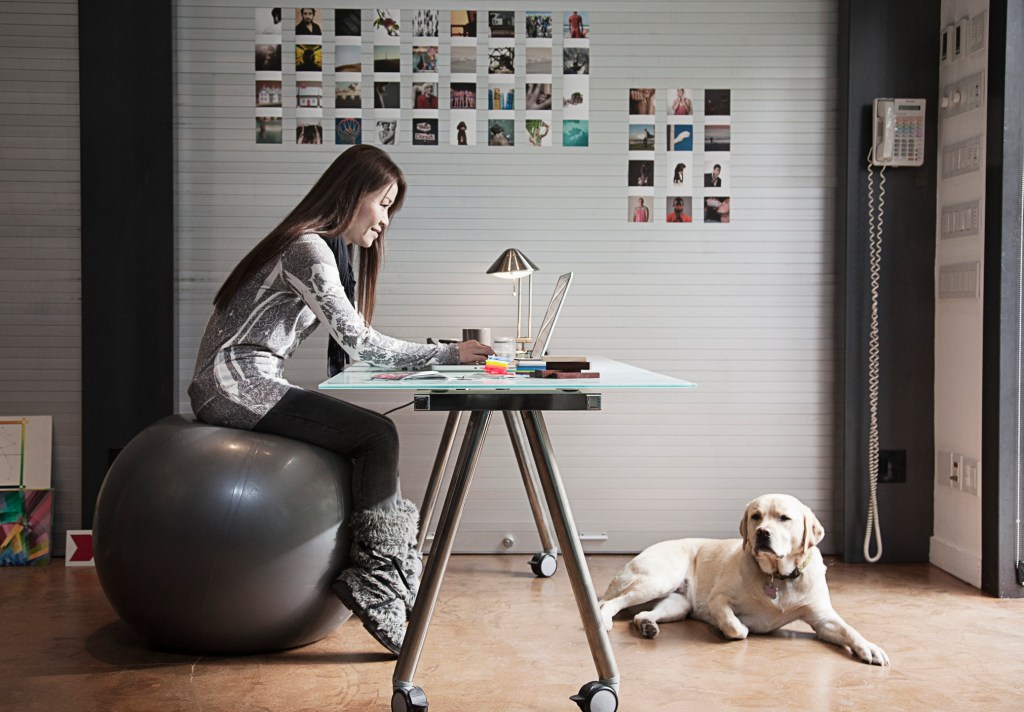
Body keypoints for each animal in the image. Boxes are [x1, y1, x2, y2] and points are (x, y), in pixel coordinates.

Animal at [598, 493, 888, 663]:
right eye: (756, 516)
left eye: (784, 518)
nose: (762, 533)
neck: (778, 577)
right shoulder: (718, 599)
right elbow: (737, 627)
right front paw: (734, 627)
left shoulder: (823, 618)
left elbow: (849, 629)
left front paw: (869, 647)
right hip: (658, 580)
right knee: (608, 604)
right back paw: (605, 620)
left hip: (678, 603)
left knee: (639, 614)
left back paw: (647, 625)